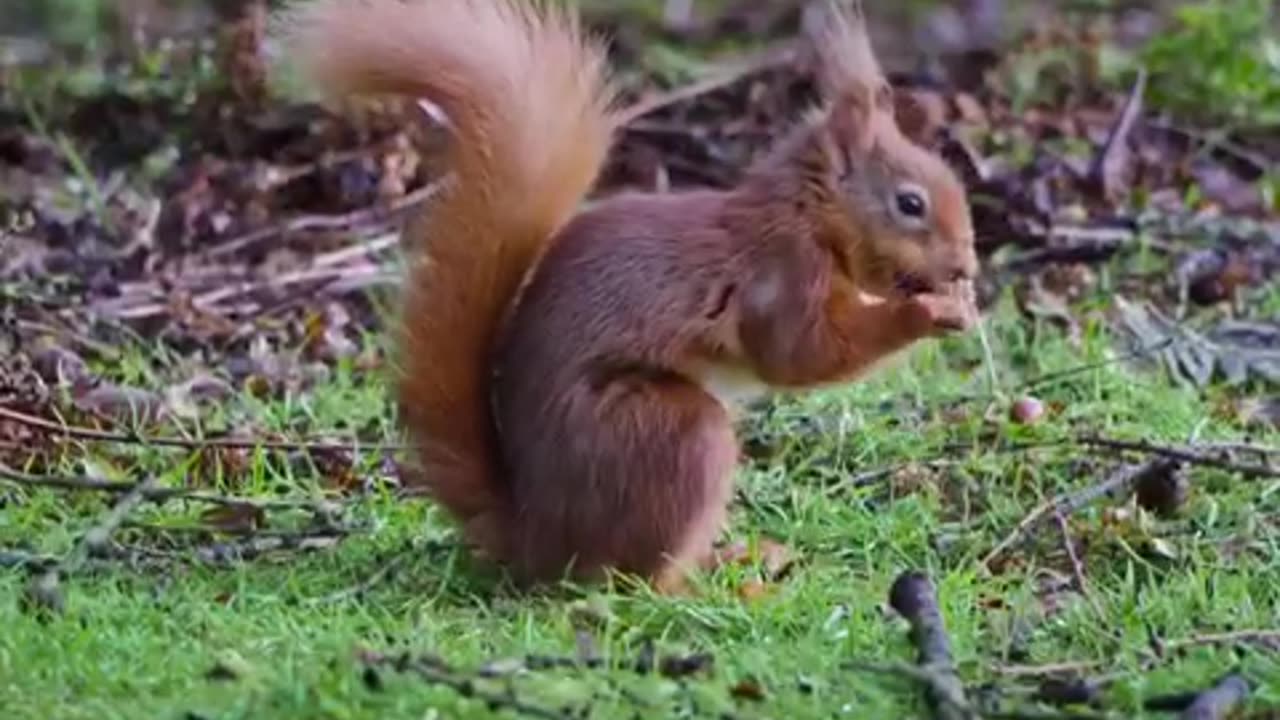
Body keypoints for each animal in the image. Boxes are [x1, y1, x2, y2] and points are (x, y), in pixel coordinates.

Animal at [282, 0, 977, 589]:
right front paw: (925, 311)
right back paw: (711, 583)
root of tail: (537, 535)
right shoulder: (781, 275)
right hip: (673, 437)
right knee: (630, 578)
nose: (966, 266)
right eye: (910, 204)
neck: (810, 216)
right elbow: (799, 355)